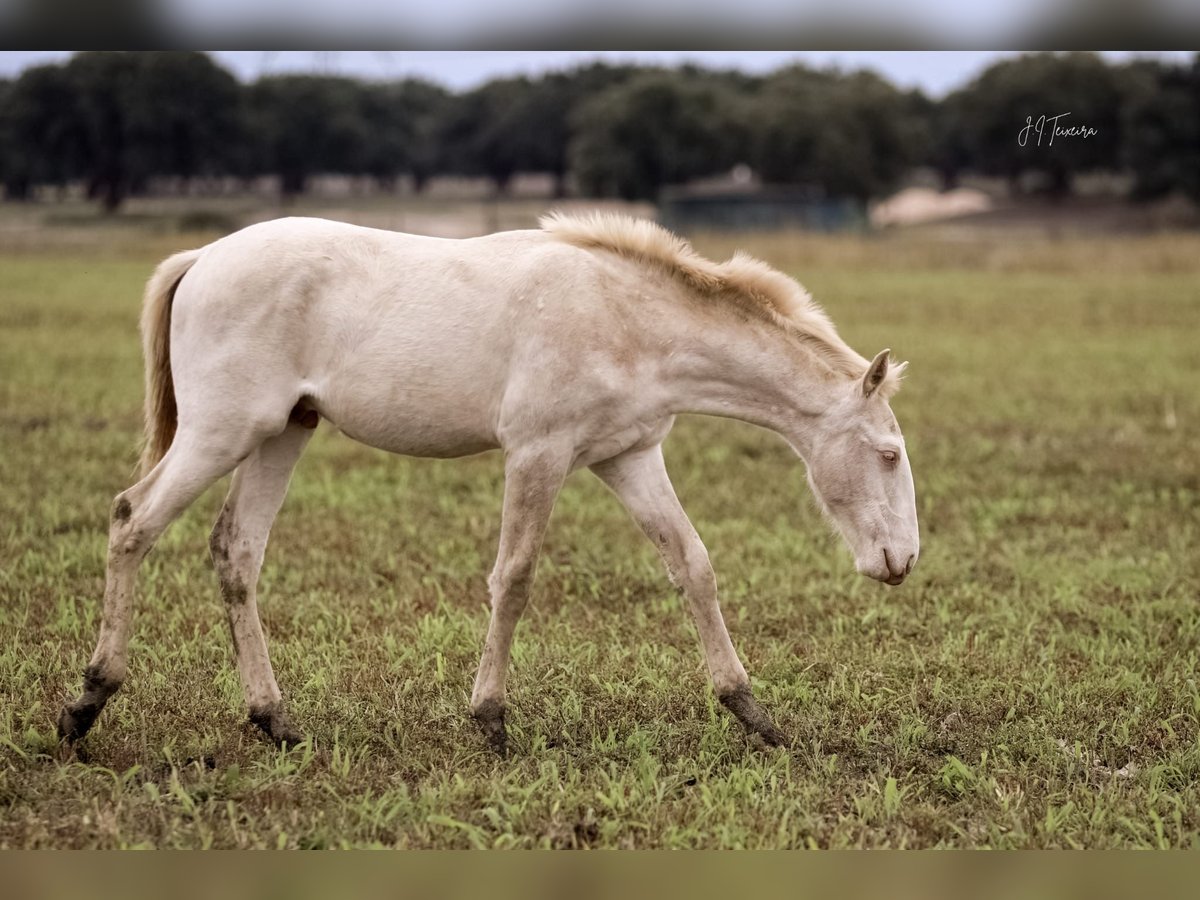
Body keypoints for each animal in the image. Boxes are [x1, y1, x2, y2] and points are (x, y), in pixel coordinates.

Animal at [58, 214, 916, 758]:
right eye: (888, 453)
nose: (901, 562)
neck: (627, 317)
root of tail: (202, 258)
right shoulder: (538, 454)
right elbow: (515, 578)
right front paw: (491, 720)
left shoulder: (629, 456)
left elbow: (692, 566)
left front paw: (751, 711)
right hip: (222, 432)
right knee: (132, 519)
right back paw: (87, 703)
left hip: (282, 433)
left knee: (235, 552)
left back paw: (275, 721)